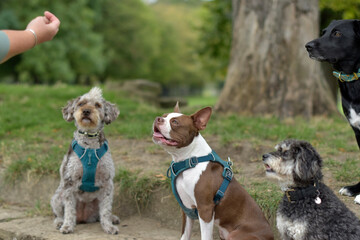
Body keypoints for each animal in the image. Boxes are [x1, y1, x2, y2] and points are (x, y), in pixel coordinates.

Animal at [152, 104, 272, 240]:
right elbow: (184, 235)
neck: (189, 160)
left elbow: (205, 236)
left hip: (235, 235)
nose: (157, 118)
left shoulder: (205, 209)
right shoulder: (186, 209)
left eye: (175, 122)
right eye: (164, 116)